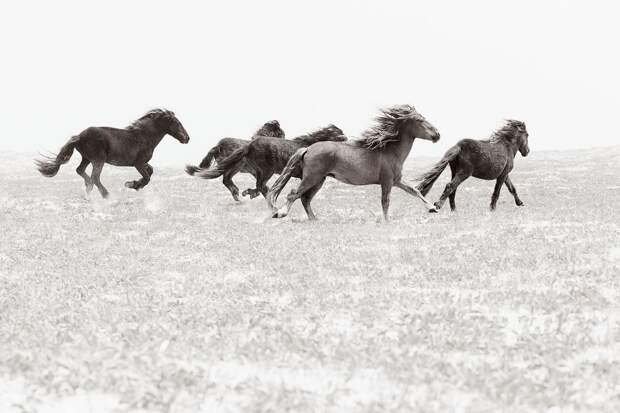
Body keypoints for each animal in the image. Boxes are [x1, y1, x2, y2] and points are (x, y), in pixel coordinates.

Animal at [35, 106, 189, 196]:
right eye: (177, 123)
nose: (187, 138)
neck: (143, 136)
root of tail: (79, 136)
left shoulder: (143, 163)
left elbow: (151, 171)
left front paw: (134, 184)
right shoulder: (138, 163)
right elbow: (147, 177)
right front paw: (132, 184)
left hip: (87, 158)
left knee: (81, 171)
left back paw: (88, 189)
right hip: (98, 160)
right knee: (95, 177)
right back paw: (106, 195)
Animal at [186, 123, 346, 205]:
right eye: (338, 135)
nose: (346, 139)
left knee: (247, 184)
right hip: (257, 169)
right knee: (243, 182)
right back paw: (244, 194)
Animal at [268, 104, 438, 220]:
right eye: (419, 120)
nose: (437, 135)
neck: (390, 151)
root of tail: (308, 148)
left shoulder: (397, 181)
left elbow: (415, 191)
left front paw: (433, 208)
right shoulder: (387, 181)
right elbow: (385, 201)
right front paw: (386, 221)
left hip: (319, 180)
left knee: (305, 199)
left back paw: (314, 220)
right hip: (312, 178)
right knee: (294, 194)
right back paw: (280, 213)